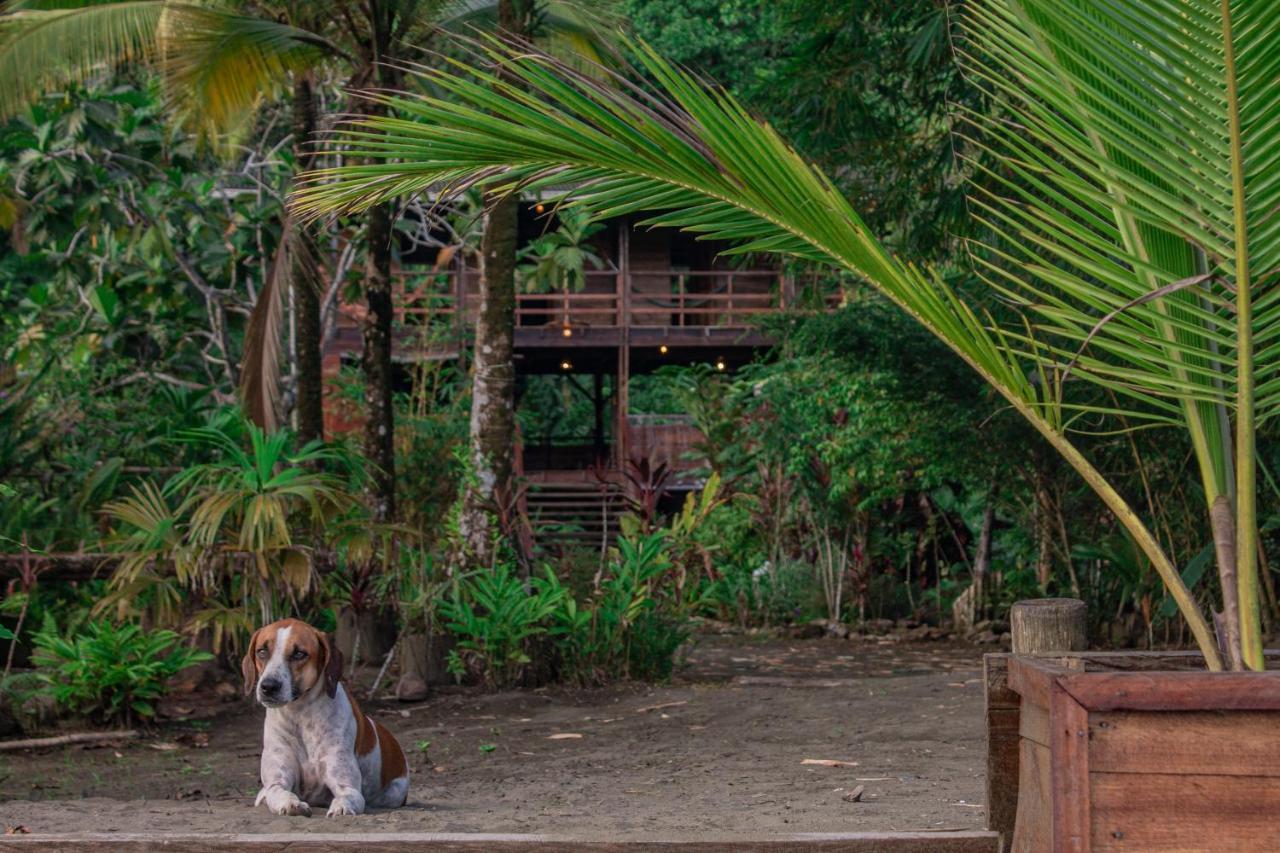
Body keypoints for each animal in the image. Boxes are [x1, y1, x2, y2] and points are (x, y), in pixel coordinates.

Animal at [241, 617, 407, 809]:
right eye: (262, 651)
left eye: (299, 654)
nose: (268, 686)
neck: (300, 715)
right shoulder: (277, 780)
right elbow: (278, 791)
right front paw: (291, 803)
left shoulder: (347, 785)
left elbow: (347, 796)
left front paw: (340, 806)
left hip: (395, 793)